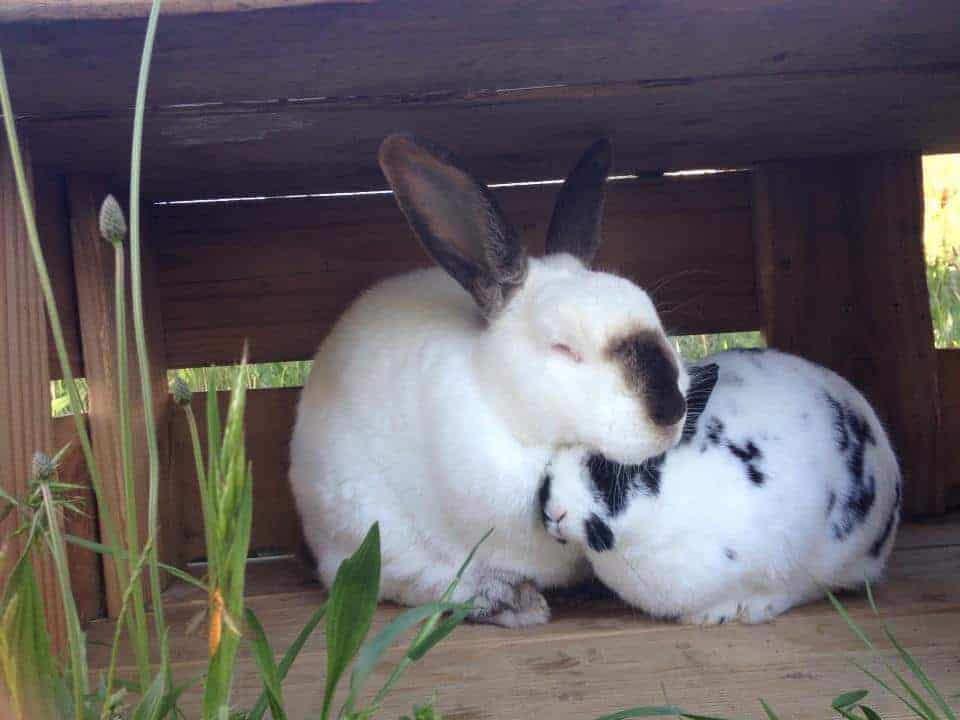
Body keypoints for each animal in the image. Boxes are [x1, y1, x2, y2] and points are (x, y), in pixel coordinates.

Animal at [289, 134, 692, 628]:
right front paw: (515, 603)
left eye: (651, 312)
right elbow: (427, 577)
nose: (670, 409)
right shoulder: (377, 538)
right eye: (563, 348)